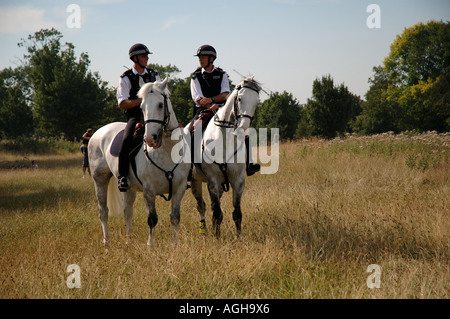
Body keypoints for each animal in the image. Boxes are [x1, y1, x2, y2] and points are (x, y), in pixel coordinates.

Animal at [89, 79, 191, 246]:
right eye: (142, 107)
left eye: (160, 105)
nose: (150, 139)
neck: (167, 151)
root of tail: (98, 132)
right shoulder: (148, 190)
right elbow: (152, 219)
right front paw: (151, 245)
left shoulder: (179, 188)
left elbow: (175, 217)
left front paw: (174, 244)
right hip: (100, 179)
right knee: (103, 211)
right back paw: (106, 241)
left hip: (128, 187)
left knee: (127, 210)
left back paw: (129, 239)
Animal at [186, 76, 264, 239]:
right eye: (239, 99)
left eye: (256, 102)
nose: (243, 128)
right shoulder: (213, 181)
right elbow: (217, 212)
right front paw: (217, 237)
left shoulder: (238, 180)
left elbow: (237, 213)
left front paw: (239, 238)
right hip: (196, 181)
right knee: (201, 206)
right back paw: (204, 231)